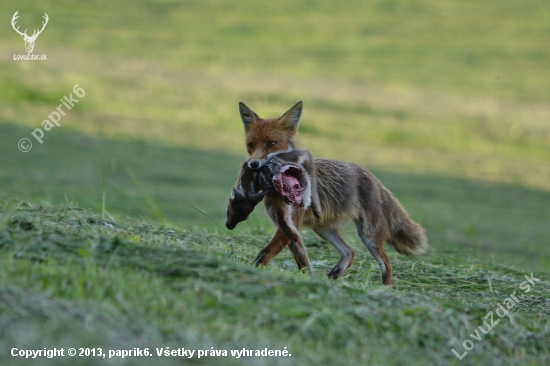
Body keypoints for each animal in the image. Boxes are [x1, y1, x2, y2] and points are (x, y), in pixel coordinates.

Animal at [235, 101, 430, 284]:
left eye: (271, 144)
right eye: (251, 145)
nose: (253, 164)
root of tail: (372, 176)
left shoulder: (289, 226)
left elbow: (264, 254)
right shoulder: (287, 228)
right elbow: (298, 259)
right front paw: (307, 278)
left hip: (368, 235)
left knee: (386, 263)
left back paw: (383, 289)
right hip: (324, 229)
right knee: (349, 252)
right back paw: (332, 277)